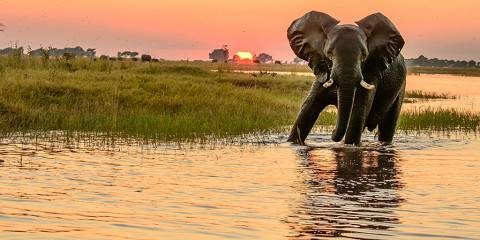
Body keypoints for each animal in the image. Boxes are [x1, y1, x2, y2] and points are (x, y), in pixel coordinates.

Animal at [286, 11, 406, 144]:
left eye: (364, 56)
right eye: (329, 54)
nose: (332, 132)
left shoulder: (371, 72)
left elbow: (358, 111)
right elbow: (307, 109)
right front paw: (292, 143)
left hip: (401, 87)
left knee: (388, 126)